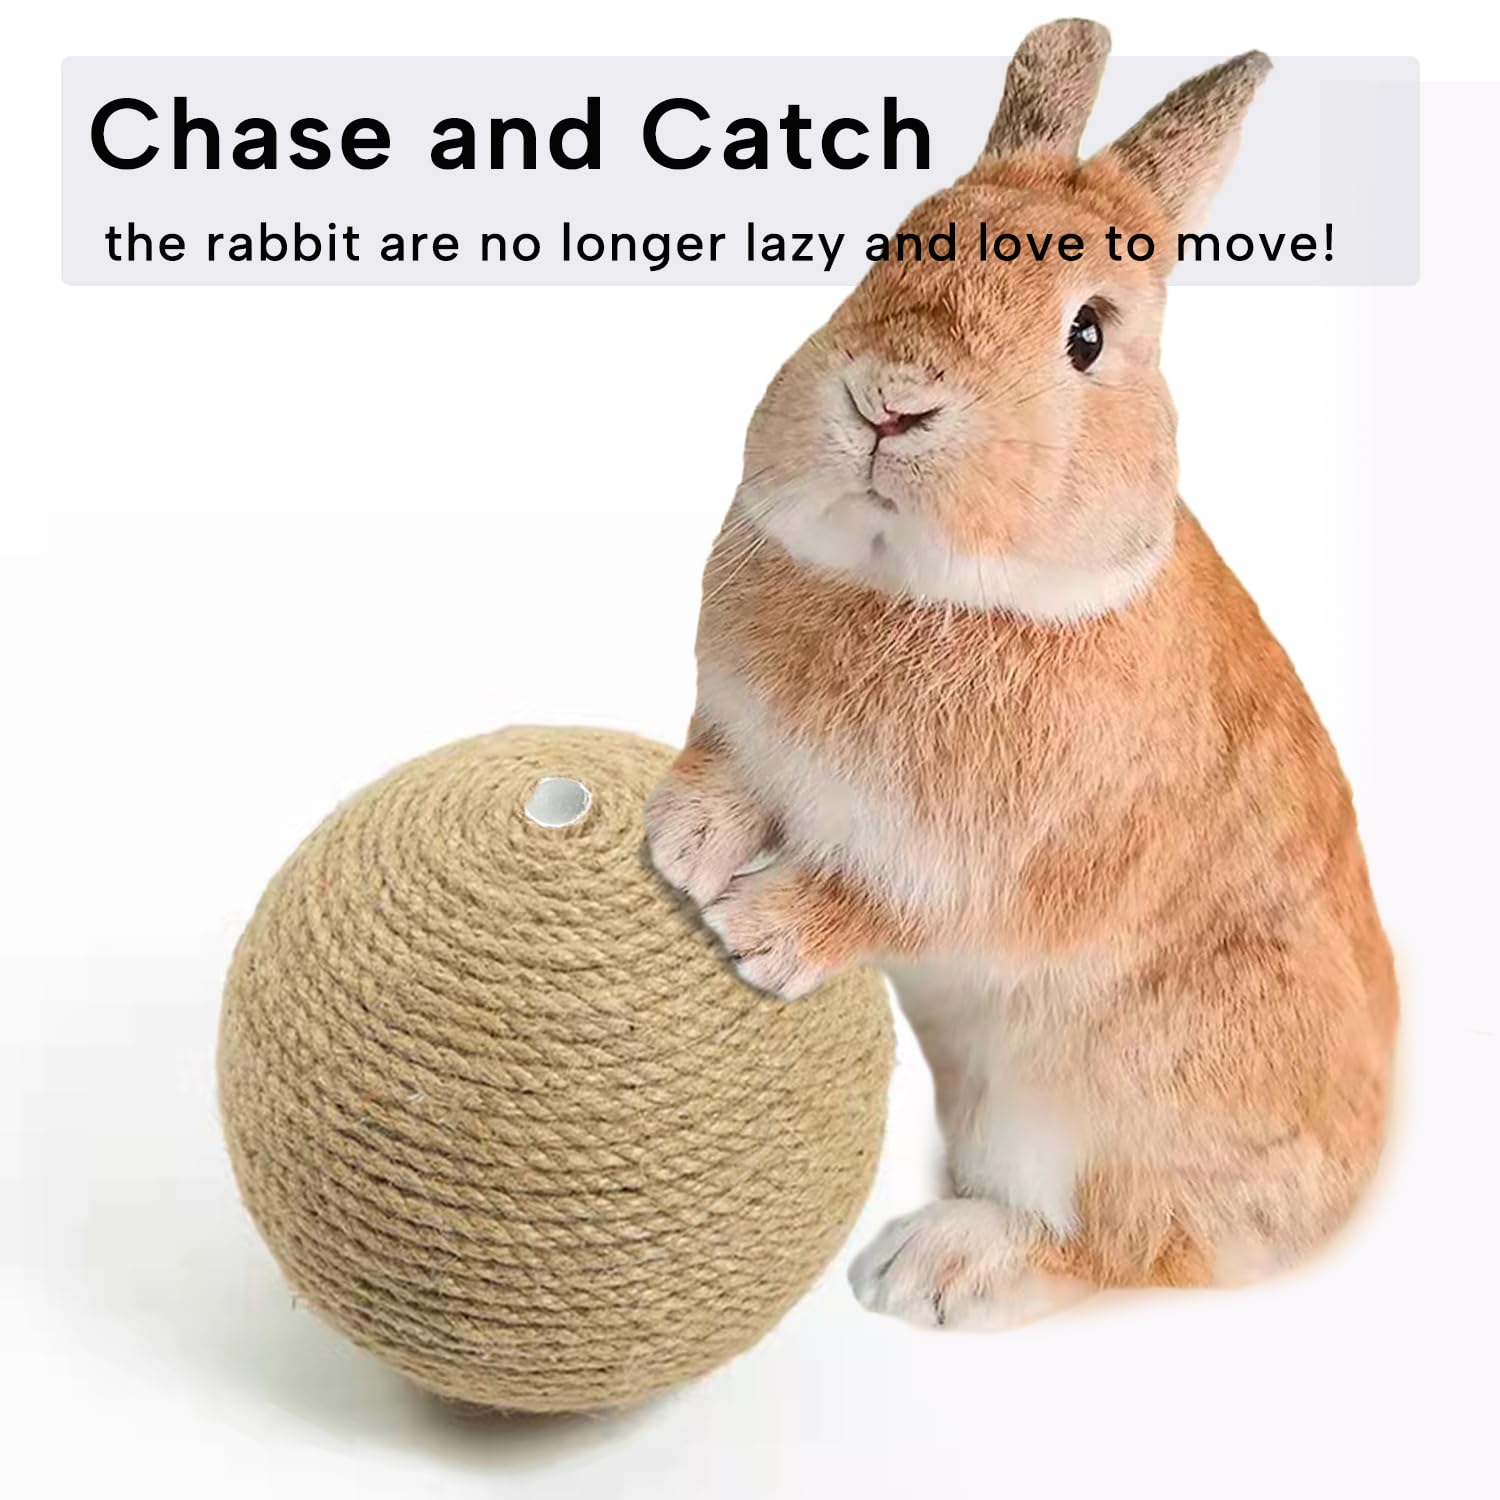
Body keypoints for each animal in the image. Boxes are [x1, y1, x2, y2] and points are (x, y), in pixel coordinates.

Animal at [644, 18, 1397, 1330]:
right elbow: (724, 781)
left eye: (1087, 333)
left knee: (1123, 1245)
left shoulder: (993, 867)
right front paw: (681, 847)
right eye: (899, 242)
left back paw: (931, 1269)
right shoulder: (740, 734)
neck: (911, 587)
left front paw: (759, 933)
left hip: (1088, 1109)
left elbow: (884, 901)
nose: (891, 403)